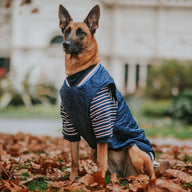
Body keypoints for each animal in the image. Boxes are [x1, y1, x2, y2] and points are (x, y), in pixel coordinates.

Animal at [58, 4, 154, 182]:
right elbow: (74, 159)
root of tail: (127, 173)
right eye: (67, 30)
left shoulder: (102, 124)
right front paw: (72, 180)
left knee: (149, 173)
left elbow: (101, 161)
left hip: (135, 150)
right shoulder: (69, 125)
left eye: (81, 32)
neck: (77, 75)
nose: (65, 44)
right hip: (93, 150)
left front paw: (99, 182)